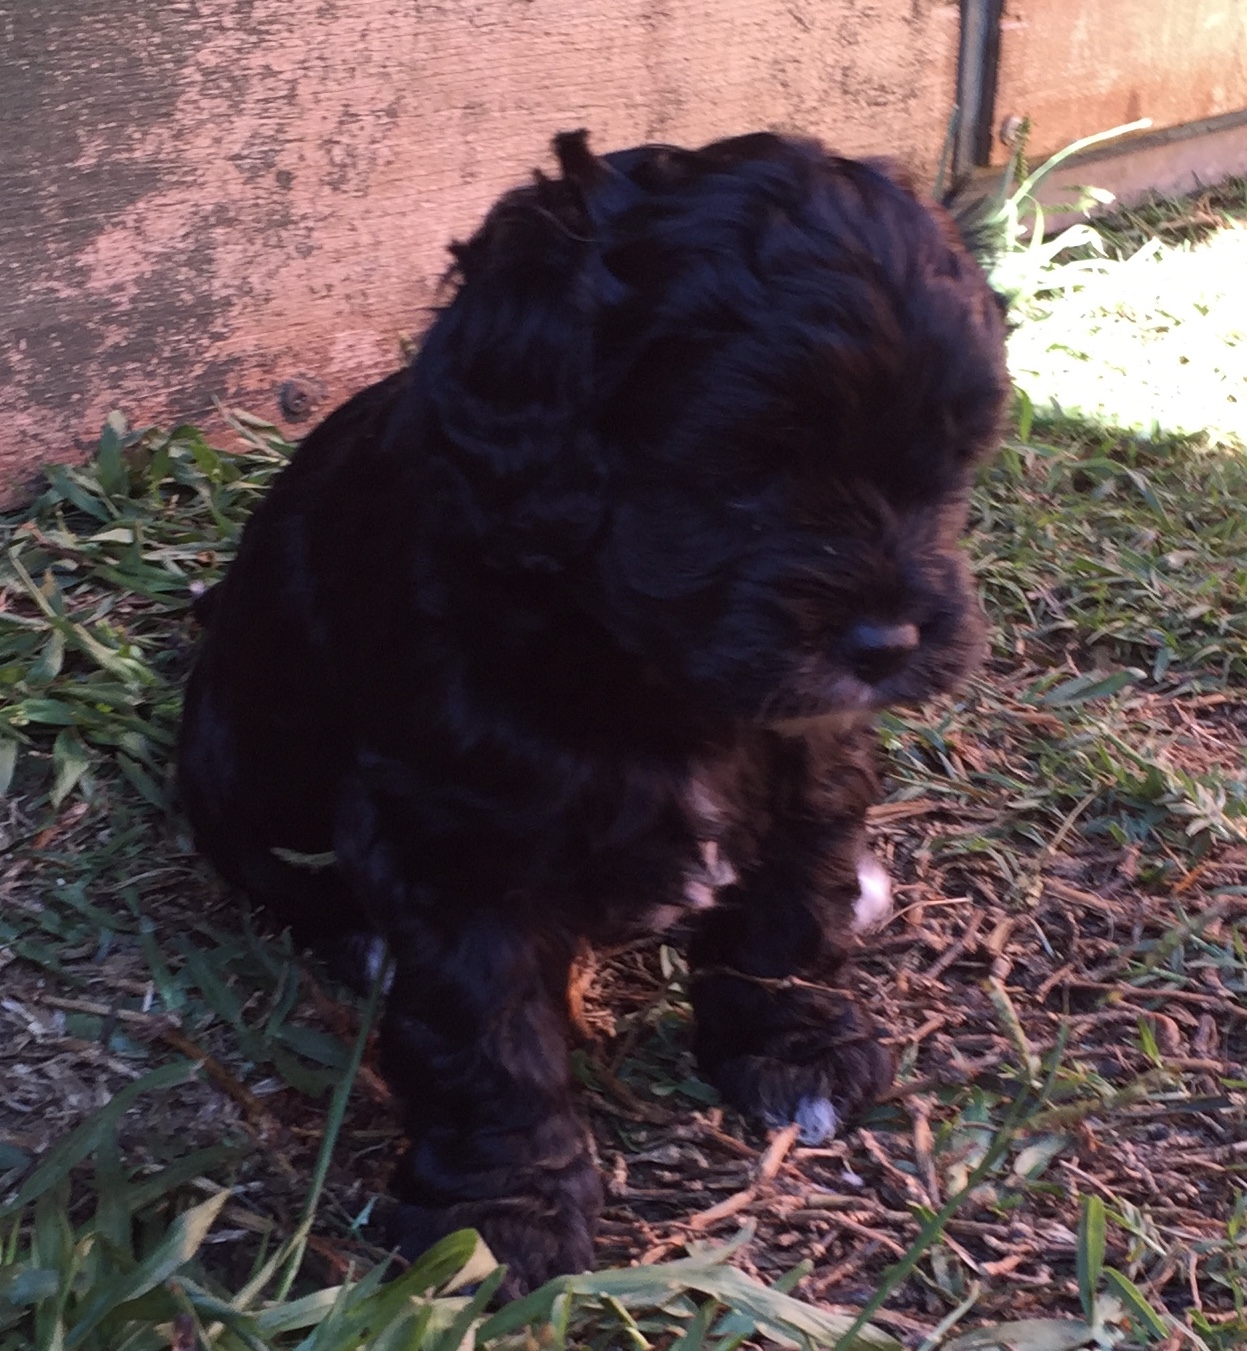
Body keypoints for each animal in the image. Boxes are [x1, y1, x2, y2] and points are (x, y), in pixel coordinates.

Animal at [178, 129, 1008, 1295]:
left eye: (945, 464)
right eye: (739, 468)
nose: (887, 642)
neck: (626, 654)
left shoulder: (809, 745)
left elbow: (787, 902)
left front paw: (792, 1044)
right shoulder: (455, 835)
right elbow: (487, 1037)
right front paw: (498, 1217)